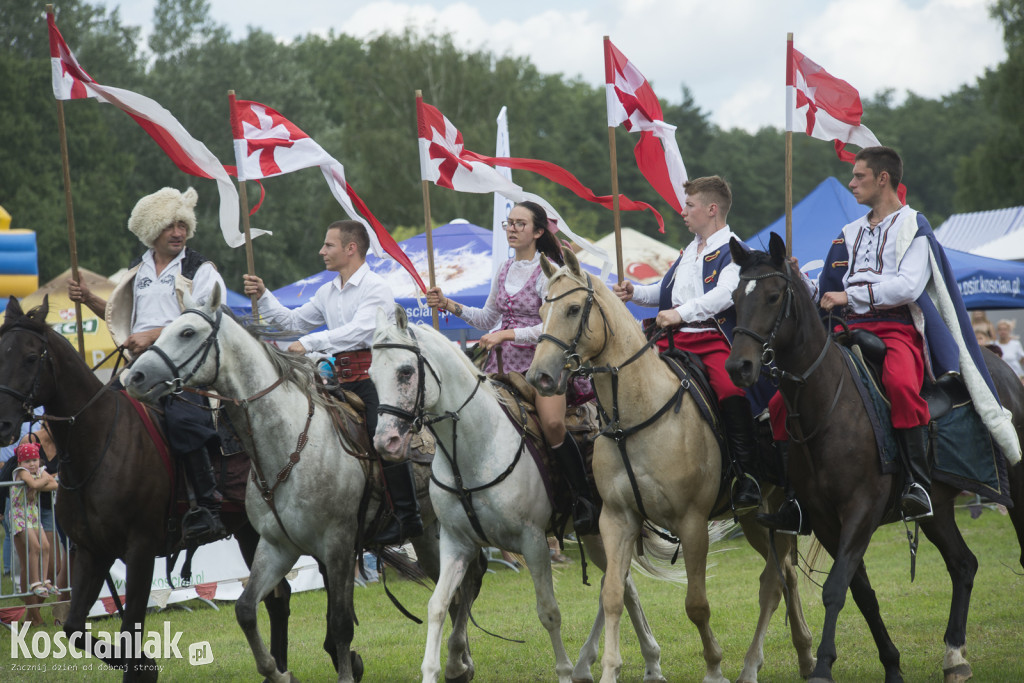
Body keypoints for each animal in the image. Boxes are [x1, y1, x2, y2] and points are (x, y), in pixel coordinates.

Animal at [0, 296, 292, 679]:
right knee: (277, 597)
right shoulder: (91, 552)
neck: (98, 442)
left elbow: (130, 627)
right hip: (249, 532)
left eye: (32, 358)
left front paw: (144, 667)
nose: (3, 423)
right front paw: (146, 666)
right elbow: (74, 628)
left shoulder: (139, 549)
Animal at [121, 284, 485, 683]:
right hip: (430, 535)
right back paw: (459, 662)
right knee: (456, 587)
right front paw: (278, 673)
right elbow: (246, 609)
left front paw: (344, 674)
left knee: (467, 582)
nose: (134, 378)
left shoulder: (339, 544)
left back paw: (458, 661)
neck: (290, 442)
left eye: (187, 332)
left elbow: (340, 622)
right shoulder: (276, 546)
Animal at [370, 309, 696, 683]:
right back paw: (639, 663)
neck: (475, 447)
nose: (386, 442)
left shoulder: (534, 542)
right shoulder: (456, 542)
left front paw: (564, 672)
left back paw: (609, 663)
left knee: (616, 585)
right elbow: (438, 606)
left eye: (405, 371)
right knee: (622, 585)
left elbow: (548, 612)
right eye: (371, 376)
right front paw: (441, 668)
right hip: (600, 532)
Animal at [520, 250, 815, 683]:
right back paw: (802, 655)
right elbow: (613, 594)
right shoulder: (617, 519)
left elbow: (697, 604)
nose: (539, 377)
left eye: (573, 309)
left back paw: (759, 664)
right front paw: (609, 669)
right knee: (783, 576)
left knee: (777, 581)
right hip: (755, 518)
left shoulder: (691, 523)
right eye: (542, 309)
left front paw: (714, 667)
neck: (635, 417)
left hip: (772, 507)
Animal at [724, 232, 1019, 679]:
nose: (739, 367)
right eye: (735, 298)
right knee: (963, 564)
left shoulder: (860, 510)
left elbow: (834, 588)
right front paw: (892, 665)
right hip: (938, 507)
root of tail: (1003, 370)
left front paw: (823, 666)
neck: (827, 402)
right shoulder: (826, 520)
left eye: (774, 296)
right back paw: (954, 656)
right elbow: (860, 591)